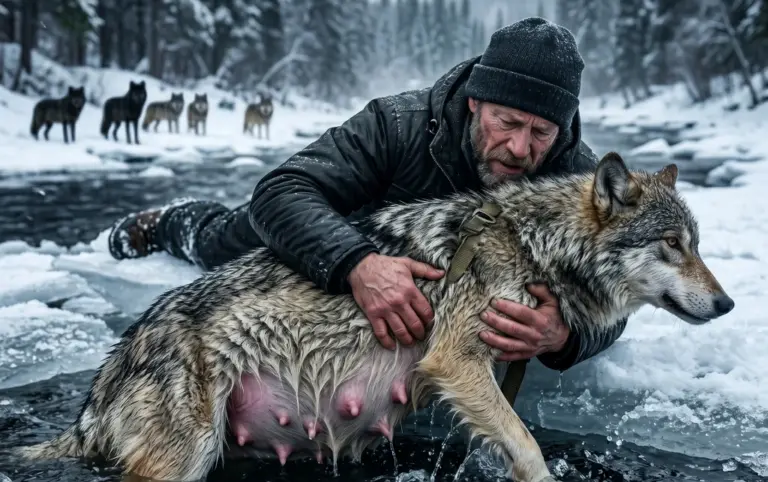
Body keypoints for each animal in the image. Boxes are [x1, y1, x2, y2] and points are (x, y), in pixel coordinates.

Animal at [17, 153, 734, 482]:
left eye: (697, 244)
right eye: (673, 244)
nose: (727, 304)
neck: (534, 243)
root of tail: (104, 377)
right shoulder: (456, 360)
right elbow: (530, 450)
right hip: (183, 457)